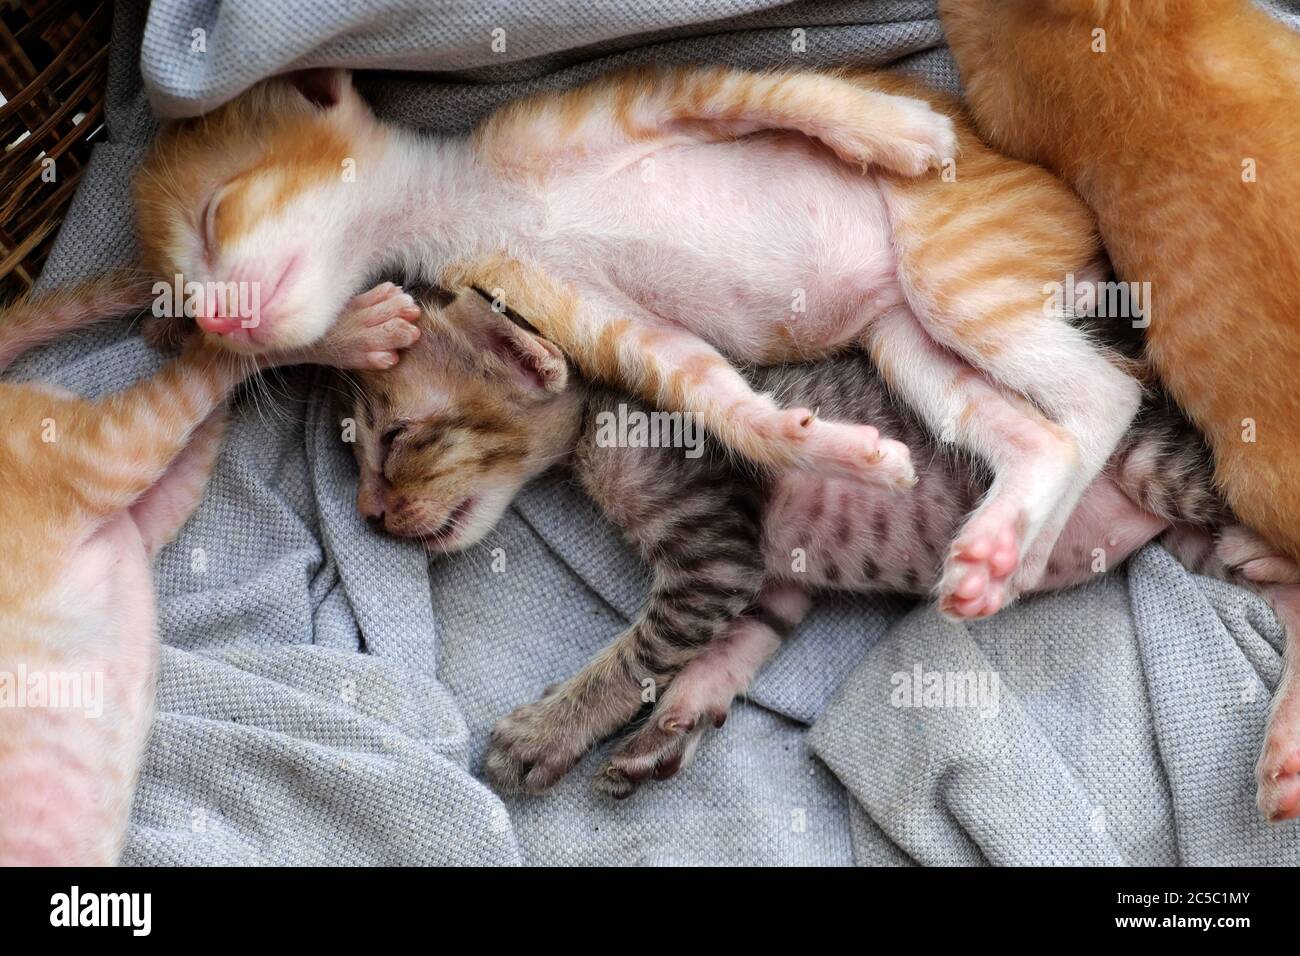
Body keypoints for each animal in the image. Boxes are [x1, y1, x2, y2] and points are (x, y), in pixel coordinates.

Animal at [137, 65, 1144, 621]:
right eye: (182, 296)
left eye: (217, 213)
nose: (217, 321)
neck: (470, 202)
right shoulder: (605, 321)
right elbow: (713, 393)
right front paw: (820, 445)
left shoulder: (662, 96)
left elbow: (778, 91)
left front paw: (889, 127)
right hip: (905, 341)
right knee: (1048, 429)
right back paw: (1003, 552)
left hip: (951, 266)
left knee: (1112, 392)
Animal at [345, 286, 1300, 816]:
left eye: (395, 438)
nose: (369, 516)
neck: (604, 409)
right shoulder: (766, 579)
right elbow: (731, 648)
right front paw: (677, 724)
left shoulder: (713, 548)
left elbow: (633, 656)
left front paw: (546, 732)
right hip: (1195, 539)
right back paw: (1282, 748)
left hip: (1159, 466)